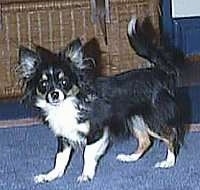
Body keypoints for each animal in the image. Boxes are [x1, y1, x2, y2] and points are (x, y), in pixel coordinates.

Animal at [17, 16, 184, 184]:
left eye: (64, 82)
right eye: (43, 84)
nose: (54, 94)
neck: (66, 106)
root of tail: (159, 73)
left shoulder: (96, 133)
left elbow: (87, 154)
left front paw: (86, 175)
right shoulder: (64, 137)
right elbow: (60, 159)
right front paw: (51, 176)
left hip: (153, 121)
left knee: (172, 136)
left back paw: (169, 162)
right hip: (136, 119)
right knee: (146, 141)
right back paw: (130, 157)